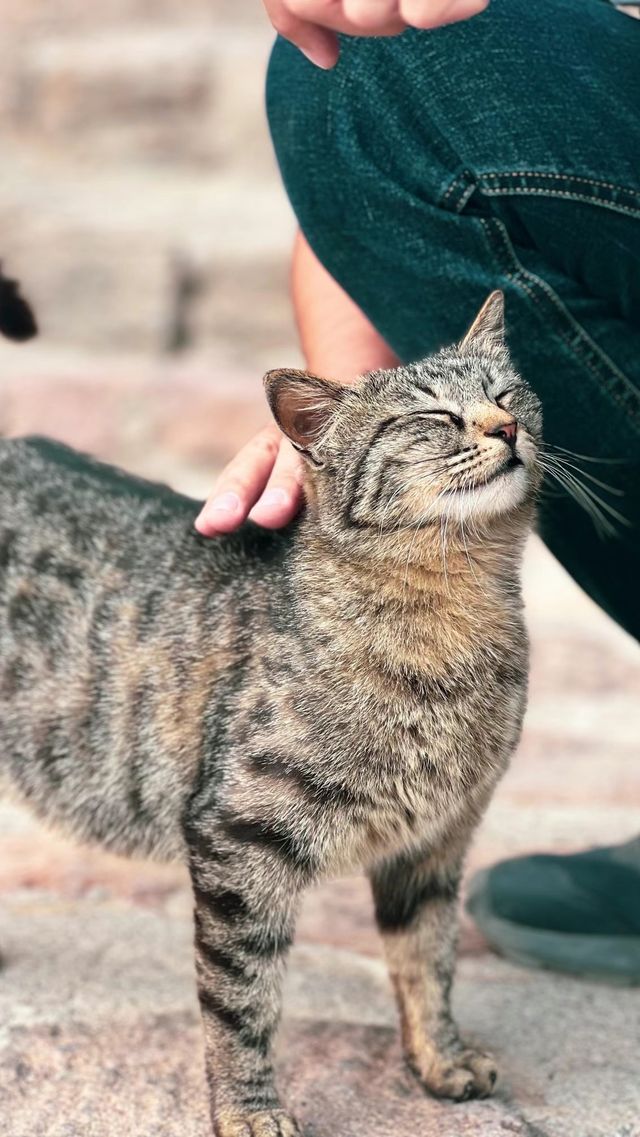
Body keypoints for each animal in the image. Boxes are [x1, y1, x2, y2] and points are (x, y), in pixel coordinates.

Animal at [0, 288, 541, 1132]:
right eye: (433, 416)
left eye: (507, 394)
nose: (505, 428)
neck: (453, 619)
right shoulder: (237, 841)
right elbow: (240, 1000)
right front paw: (248, 1107)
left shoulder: (436, 840)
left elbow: (428, 959)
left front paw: (440, 1057)